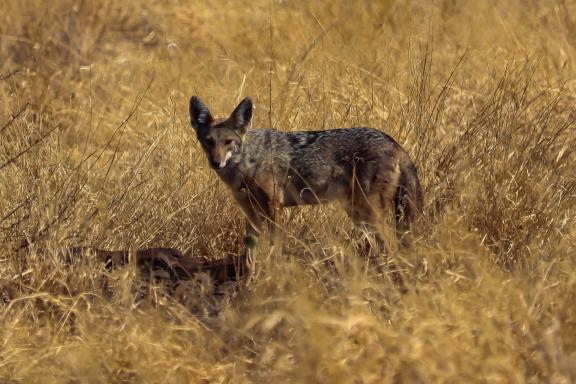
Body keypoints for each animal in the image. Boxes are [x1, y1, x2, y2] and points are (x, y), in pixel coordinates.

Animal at [189, 96, 424, 249]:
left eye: (228, 142)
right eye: (208, 142)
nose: (216, 162)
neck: (249, 161)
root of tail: (394, 143)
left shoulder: (274, 206)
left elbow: (275, 246)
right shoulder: (250, 211)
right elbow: (249, 253)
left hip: (369, 211)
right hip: (359, 213)